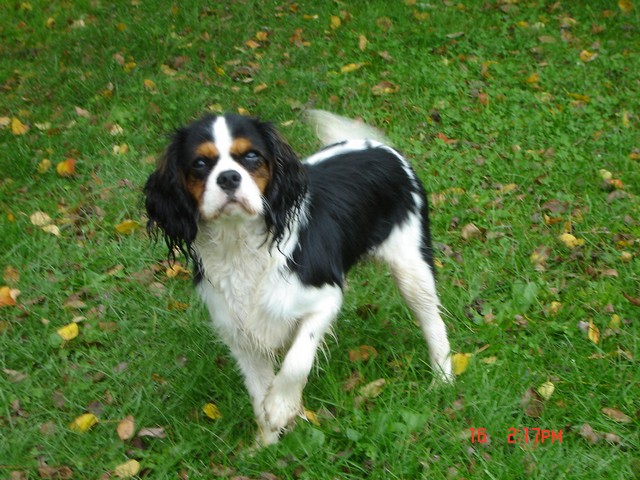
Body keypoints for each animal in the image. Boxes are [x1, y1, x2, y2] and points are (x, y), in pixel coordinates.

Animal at [145, 110, 456, 444]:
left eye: (252, 156)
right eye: (200, 163)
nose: (229, 177)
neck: (239, 243)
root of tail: (381, 148)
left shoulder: (325, 298)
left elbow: (296, 361)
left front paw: (281, 408)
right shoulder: (240, 334)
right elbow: (258, 393)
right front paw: (266, 444)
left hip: (412, 267)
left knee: (432, 321)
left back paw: (443, 379)